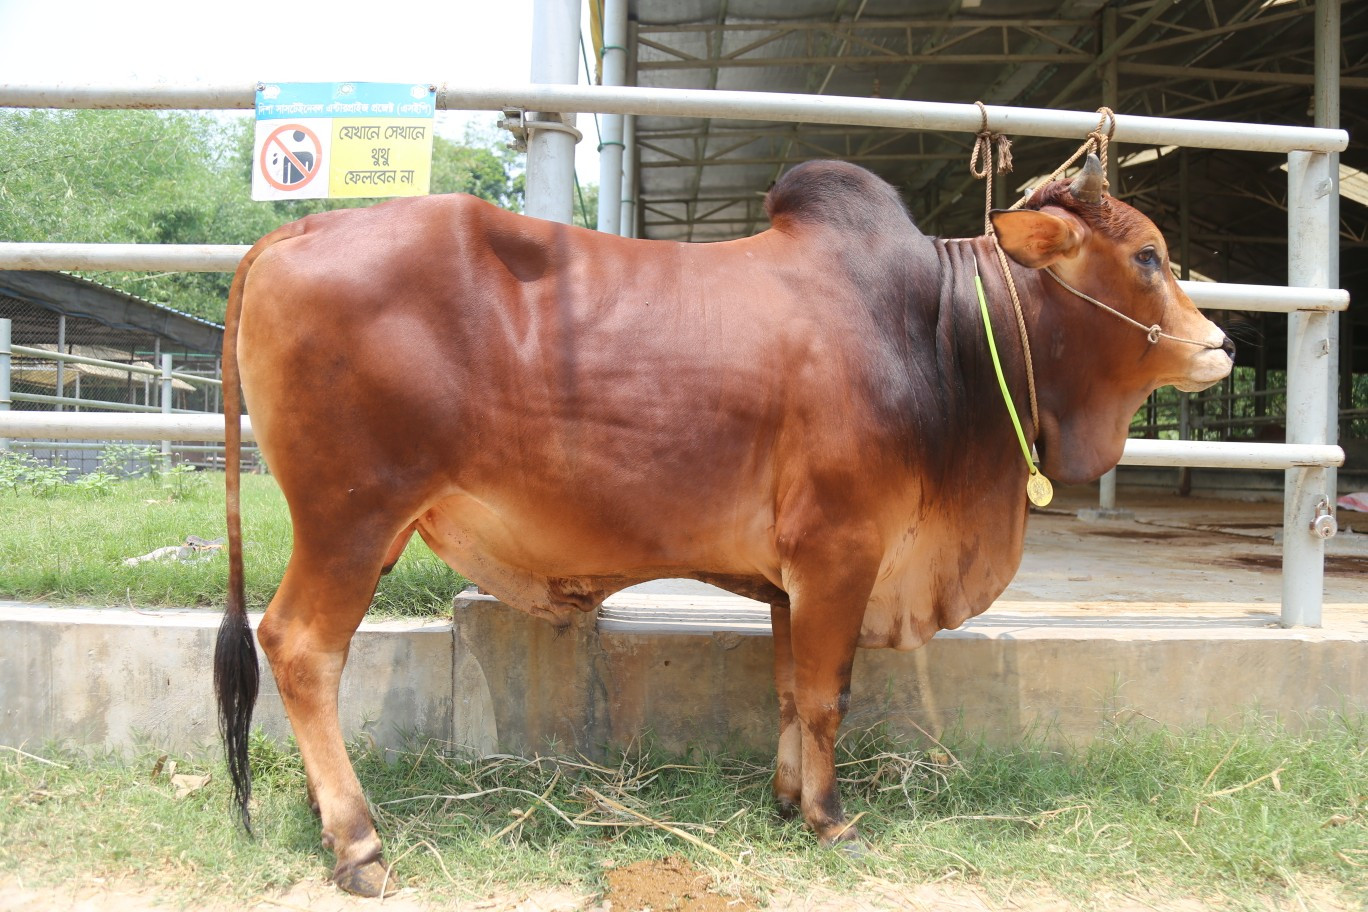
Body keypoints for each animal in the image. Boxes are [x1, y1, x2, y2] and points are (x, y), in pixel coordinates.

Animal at [215, 154, 1233, 895]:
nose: (1220, 343)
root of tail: (294, 229)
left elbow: (786, 692)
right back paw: (358, 844)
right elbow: (828, 696)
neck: (936, 331)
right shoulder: (841, 552)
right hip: (352, 517)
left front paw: (785, 800)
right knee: (301, 647)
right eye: (1148, 255)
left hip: (374, 525)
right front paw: (830, 820)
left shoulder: (793, 579)